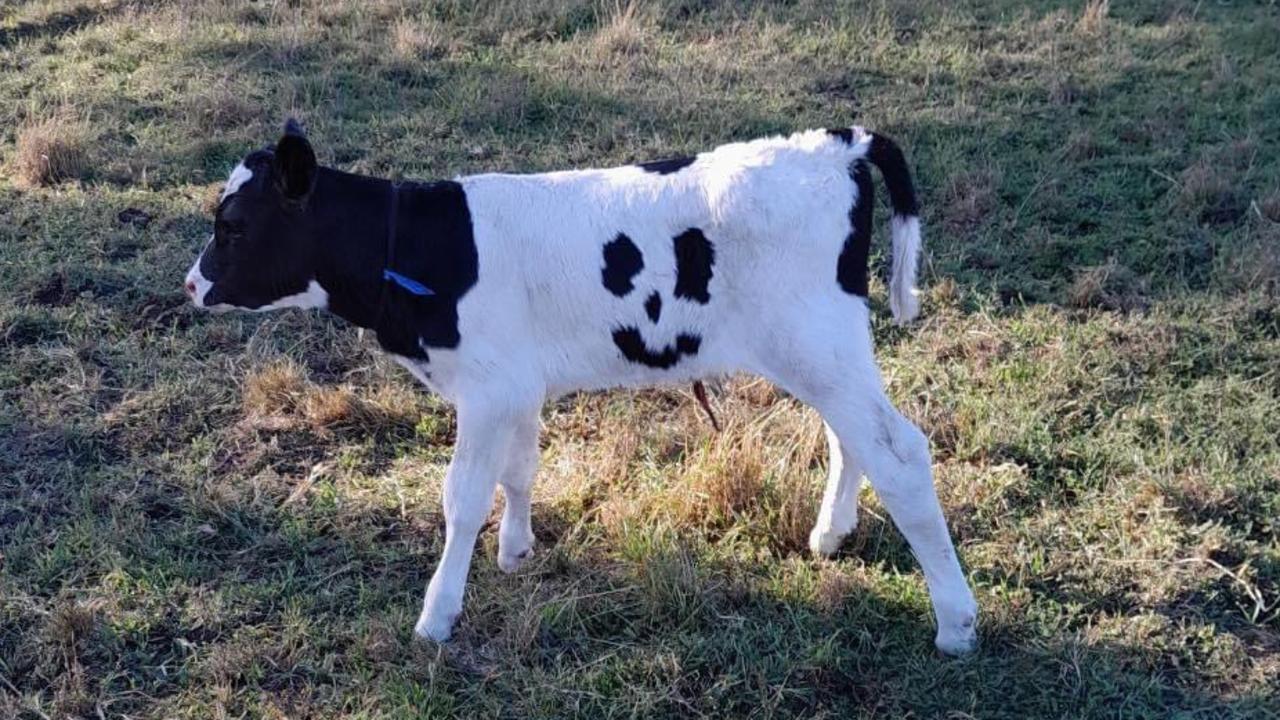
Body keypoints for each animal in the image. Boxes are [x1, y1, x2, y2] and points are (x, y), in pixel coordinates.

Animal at [180, 120, 977, 653]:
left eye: (233, 225)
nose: (190, 285)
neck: (420, 246)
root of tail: (837, 142)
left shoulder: (487, 387)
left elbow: (461, 498)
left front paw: (437, 616)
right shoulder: (516, 383)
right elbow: (519, 469)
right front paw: (516, 550)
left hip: (816, 344)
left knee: (901, 453)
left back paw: (956, 621)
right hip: (825, 351)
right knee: (855, 439)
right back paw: (831, 535)